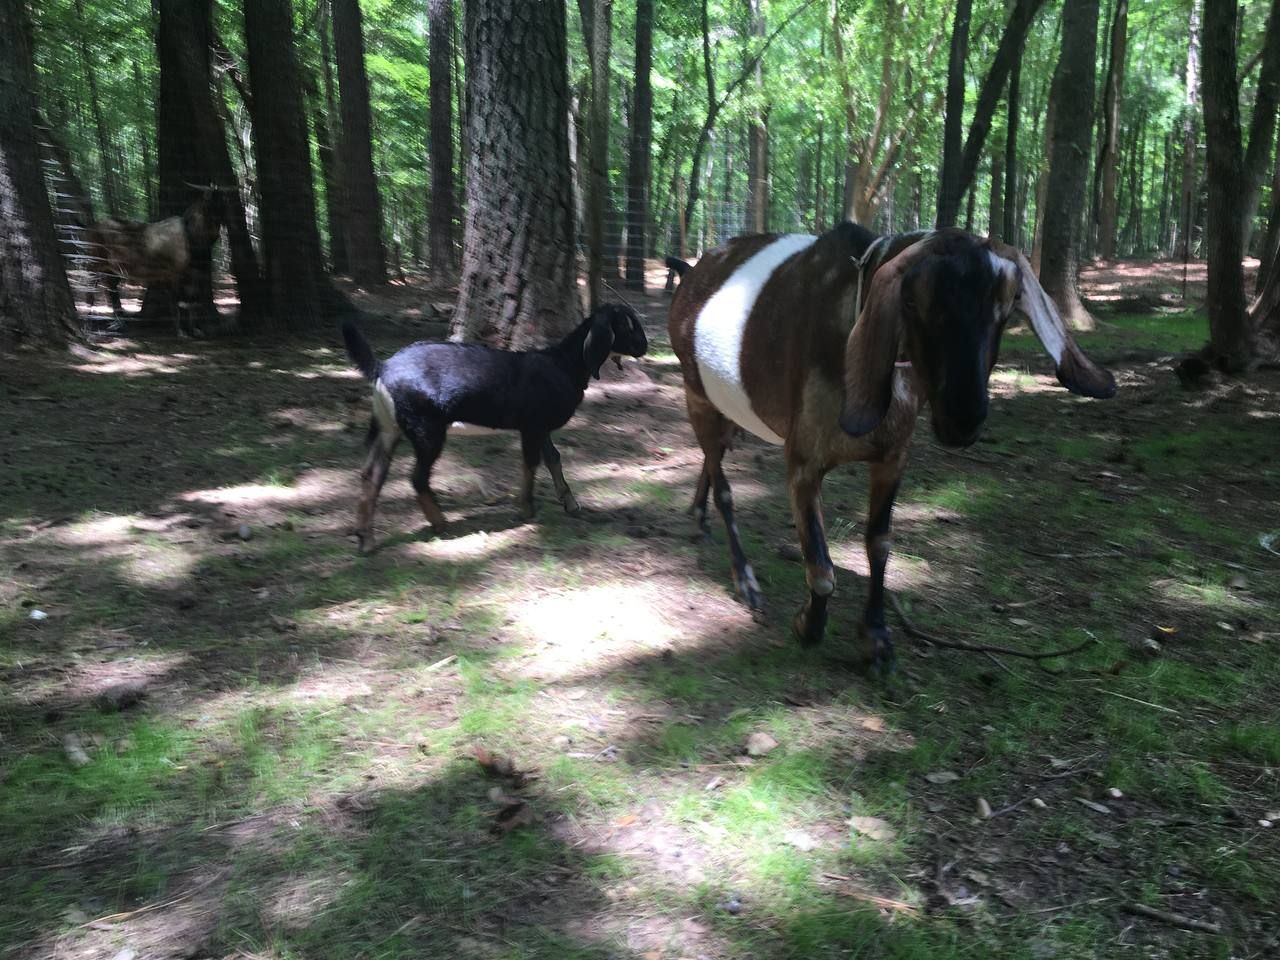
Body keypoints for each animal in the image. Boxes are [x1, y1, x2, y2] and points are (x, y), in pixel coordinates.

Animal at [342, 303, 649, 552]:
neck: (563, 364)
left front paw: (570, 504)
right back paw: (440, 523)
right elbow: (531, 463)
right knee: (417, 477)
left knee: (371, 475)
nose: (644, 346)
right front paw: (526, 509)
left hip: (389, 429)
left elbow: (553, 459)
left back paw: (366, 540)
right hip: (427, 430)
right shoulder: (531, 425)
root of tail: (382, 368)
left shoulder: (541, 427)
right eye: (625, 324)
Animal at [666, 223, 1116, 673]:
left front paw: (876, 637)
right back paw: (744, 577)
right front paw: (808, 625)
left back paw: (699, 515)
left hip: (727, 405)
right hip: (696, 393)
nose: (963, 419)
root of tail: (695, 272)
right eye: (912, 301)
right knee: (723, 483)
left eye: (1006, 308)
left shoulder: (893, 457)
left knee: (713, 457)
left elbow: (879, 544)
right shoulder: (802, 461)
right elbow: (821, 565)